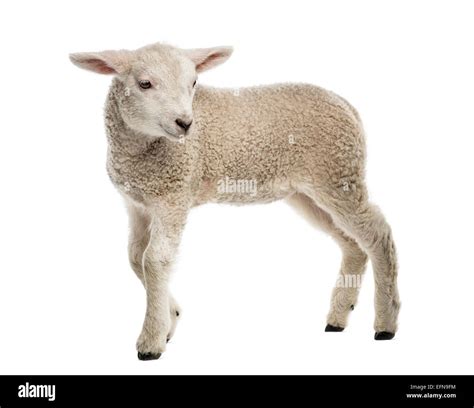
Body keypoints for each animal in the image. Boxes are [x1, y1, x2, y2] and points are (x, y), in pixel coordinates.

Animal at [68, 42, 398, 360]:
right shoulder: (138, 204)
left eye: (193, 82)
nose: (185, 123)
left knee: (377, 234)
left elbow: (154, 260)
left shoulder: (174, 197)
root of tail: (346, 104)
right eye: (144, 83)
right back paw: (339, 316)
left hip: (338, 175)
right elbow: (136, 257)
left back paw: (385, 323)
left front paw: (151, 341)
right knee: (353, 244)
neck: (142, 152)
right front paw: (171, 318)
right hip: (310, 192)